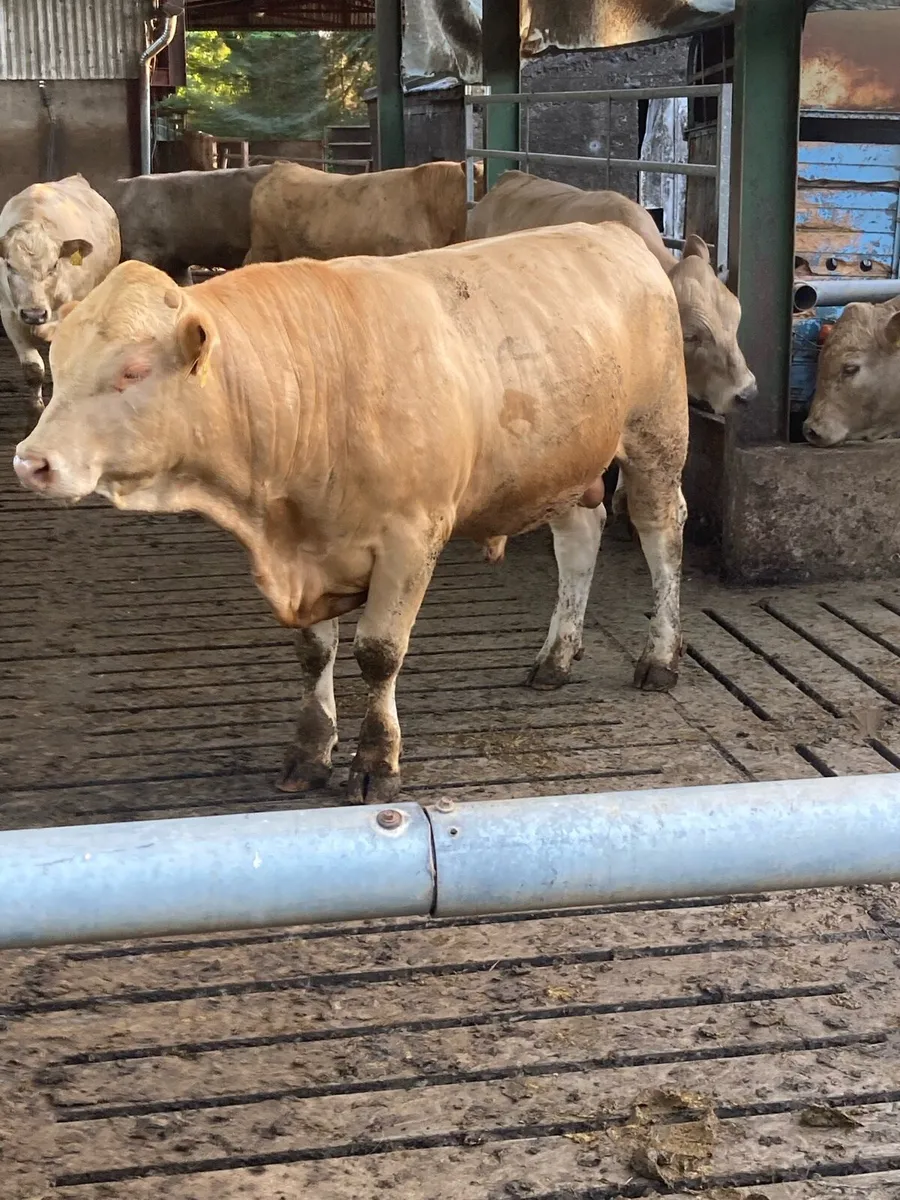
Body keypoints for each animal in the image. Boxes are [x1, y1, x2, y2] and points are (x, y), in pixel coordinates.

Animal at [13, 223, 688, 803]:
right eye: (61, 367)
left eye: (131, 371)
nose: (31, 461)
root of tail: (609, 230)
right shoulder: (310, 548)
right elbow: (314, 653)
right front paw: (310, 753)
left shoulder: (412, 536)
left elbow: (378, 652)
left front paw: (376, 762)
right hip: (561, 466)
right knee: (579, 538)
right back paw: (556, 655)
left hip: (656, 439)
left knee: (661, 534)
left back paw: (660, 657)